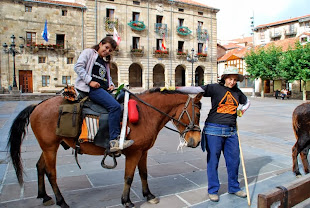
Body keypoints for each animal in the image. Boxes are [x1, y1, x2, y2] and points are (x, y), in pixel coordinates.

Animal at [7, 88, 203, 207]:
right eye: (198, 112)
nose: (196, 140)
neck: (145, 113)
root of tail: (37, 105)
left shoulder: (143, 151)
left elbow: (143, 173)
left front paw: (148, 195)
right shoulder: (134, 153)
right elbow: (129, 177)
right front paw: (126, 201)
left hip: (48, 146)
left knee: (40, 166)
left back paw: (45, 196)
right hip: (50, 147)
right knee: (51, 173)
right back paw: (61, 201)